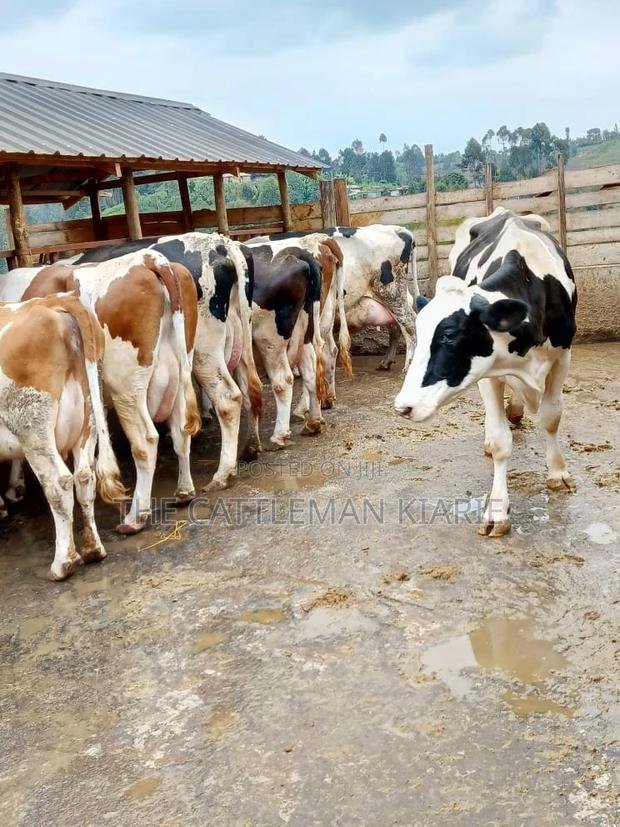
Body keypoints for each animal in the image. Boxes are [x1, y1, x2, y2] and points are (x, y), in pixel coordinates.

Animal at [0, 294, 126, 579]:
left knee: (59, 483)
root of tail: (54, 301)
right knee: (85, 477)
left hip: (33, 427)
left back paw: (63, 563)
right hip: (88, 419)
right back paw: (93, 550)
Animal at [1, 250, 201, 534]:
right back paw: (184, 491)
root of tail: (148, 258)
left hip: (126, 387)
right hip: (179, 371)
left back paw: (135, 517)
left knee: (145, 442)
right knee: (181, 430)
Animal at [78, 233, 262, 489]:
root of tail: (221, 243)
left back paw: (222, 473)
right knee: (249, 388)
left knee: (228, 398)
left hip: (205, 350)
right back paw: (250, 448)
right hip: (241, 336)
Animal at [259, 225, 416, 371]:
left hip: (391, 292)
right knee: (398, 325)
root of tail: (399, 229)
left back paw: (408, 365)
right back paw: (386, 362)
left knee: (409, 323)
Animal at [394, 207, 577, 537]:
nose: (403, 406)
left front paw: (558, 472)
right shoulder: (488, 375)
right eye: (420, 332)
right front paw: (497, 510)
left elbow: (551, 417)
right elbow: (501, 441)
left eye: (449, 335)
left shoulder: (563, 356)